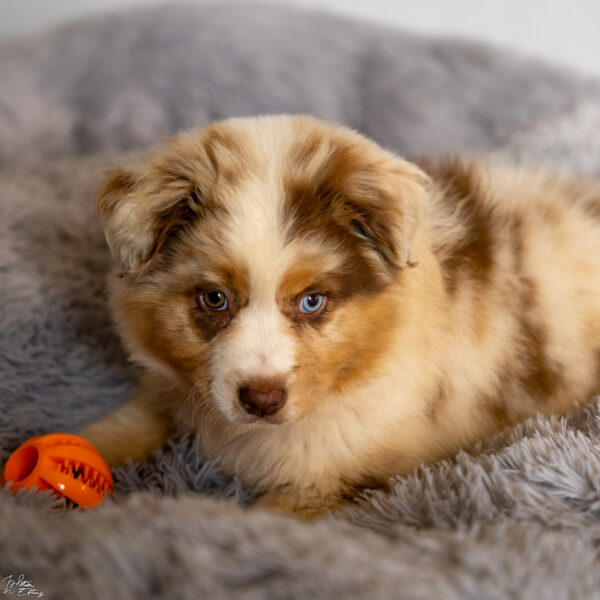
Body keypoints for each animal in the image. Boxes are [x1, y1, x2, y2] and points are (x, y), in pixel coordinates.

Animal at [79, 115, 600, 516]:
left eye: (312, 301)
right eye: (214, 299)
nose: (262, 400)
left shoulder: (329, 477)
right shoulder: (172, 389)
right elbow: (127, 424)